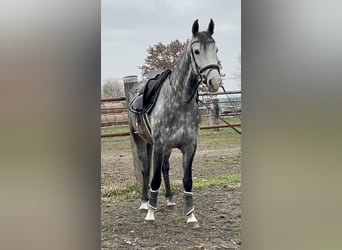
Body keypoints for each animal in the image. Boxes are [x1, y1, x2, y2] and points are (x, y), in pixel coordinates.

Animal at [127, 19, 220, 225]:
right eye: (196, 51)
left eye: (216, 49)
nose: (215, 81)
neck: (180, 101)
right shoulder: (161, 145)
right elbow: (154, 178)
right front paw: (150, 213)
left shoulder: (189, 147)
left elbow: (187, 180)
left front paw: (191, 215)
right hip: (141, 140)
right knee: (146, 169)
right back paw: (145, 202)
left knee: (165, 169)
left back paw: (169, 200)